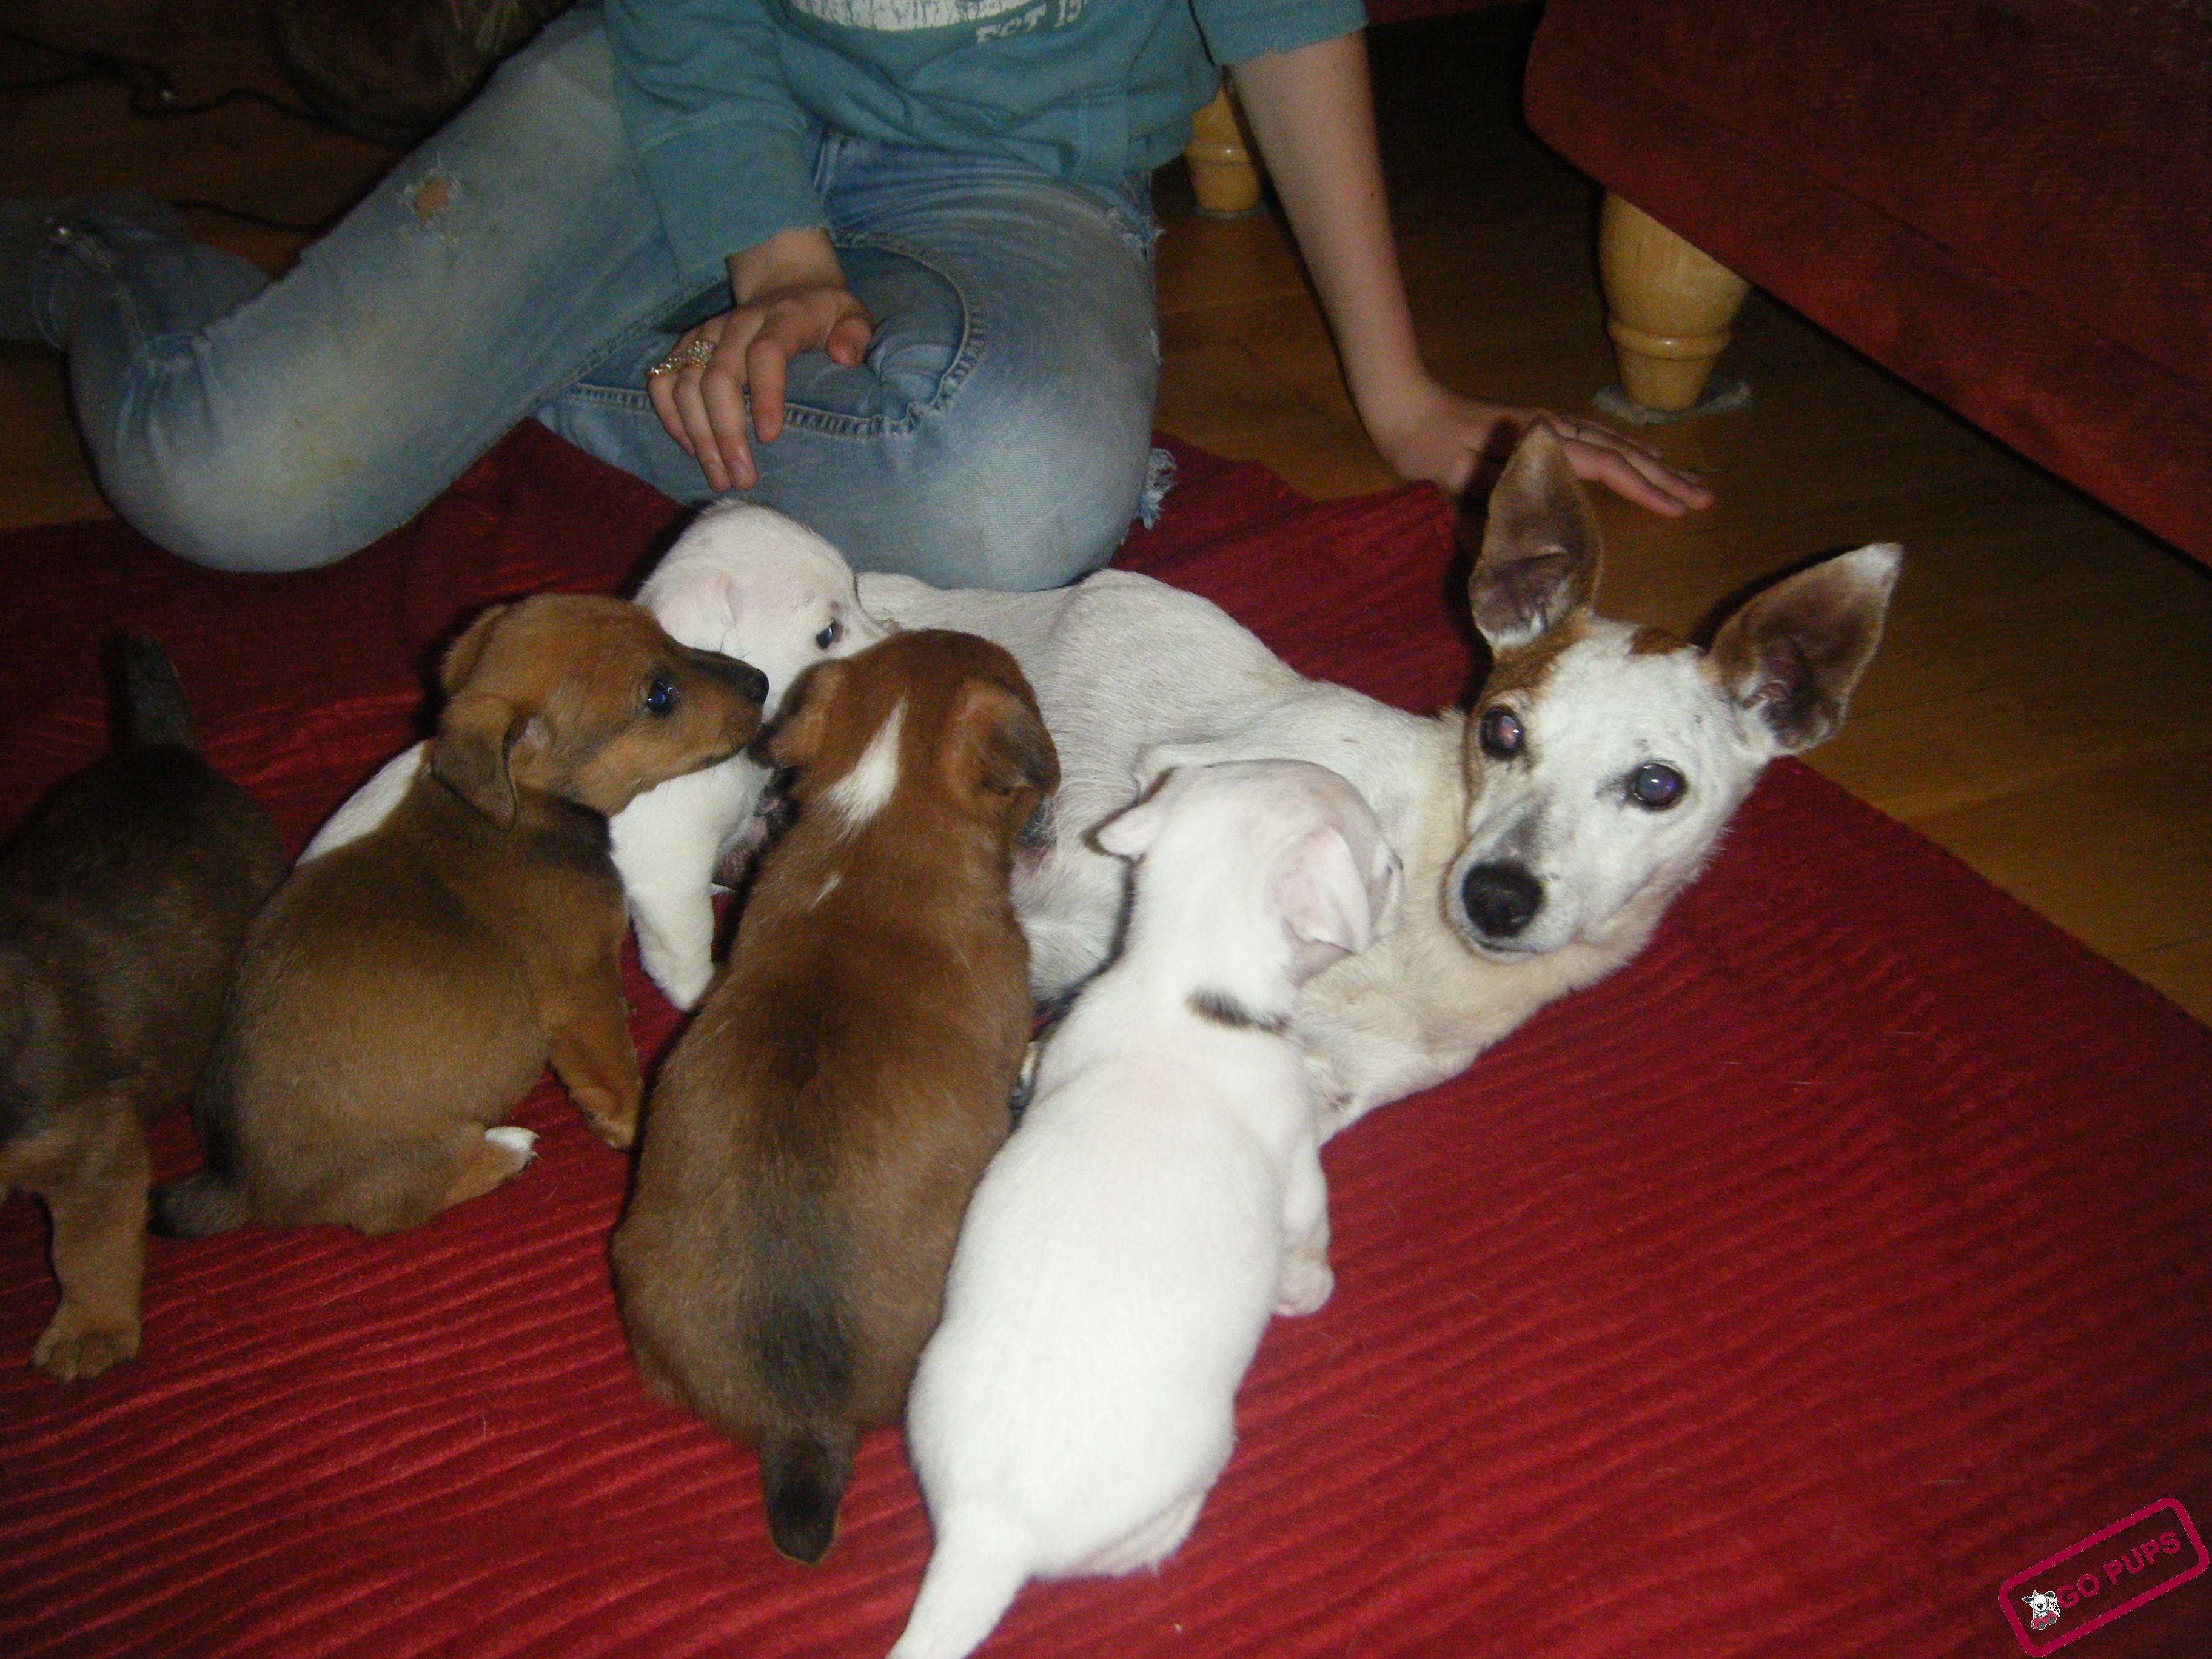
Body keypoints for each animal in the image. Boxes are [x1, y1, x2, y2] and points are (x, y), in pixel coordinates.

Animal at [152, 595, 768, 1236]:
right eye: (658, 697)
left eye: (667, 634)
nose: (763, 683)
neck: (527, 815)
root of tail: (238, 1186)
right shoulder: (578, 993)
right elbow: (614, 1077)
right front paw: (636, 1126)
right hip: (403, 1173)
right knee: (410, 1199)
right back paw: (504, 1151)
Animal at [889, 759, 1400, 1659]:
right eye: (1380, 866)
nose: (1408, 866)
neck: (1182, 985)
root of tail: (988, 1533)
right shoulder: (1297, 1166)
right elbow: (1311, 1231)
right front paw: (1308, 1291)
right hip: (1197, 1457)